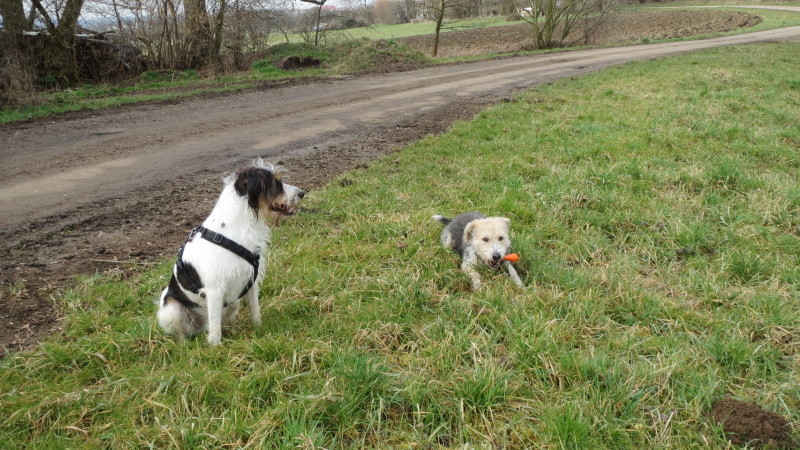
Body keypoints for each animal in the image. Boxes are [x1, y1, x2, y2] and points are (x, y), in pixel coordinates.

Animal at [158, 160, 304, 346]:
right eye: (275, 183)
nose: (302, 193)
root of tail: (199, 328)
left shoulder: (251, 280)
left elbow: (254, 309)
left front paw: (259, 328)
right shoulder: (214, 290)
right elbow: (214, 327)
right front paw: (215, 347)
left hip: (232, 303)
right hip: (171, 309)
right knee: (189, 330)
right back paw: (185, 345)